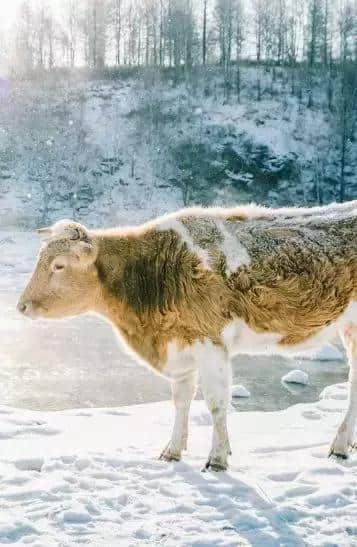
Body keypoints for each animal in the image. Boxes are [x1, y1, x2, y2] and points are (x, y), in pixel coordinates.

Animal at [17, 201, 357, 470]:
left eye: (59, 265)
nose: (22, 305)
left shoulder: (210, 343)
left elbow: (216, 404)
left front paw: (217, 459)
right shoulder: (180, 345)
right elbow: (181, 400)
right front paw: (172, 451)